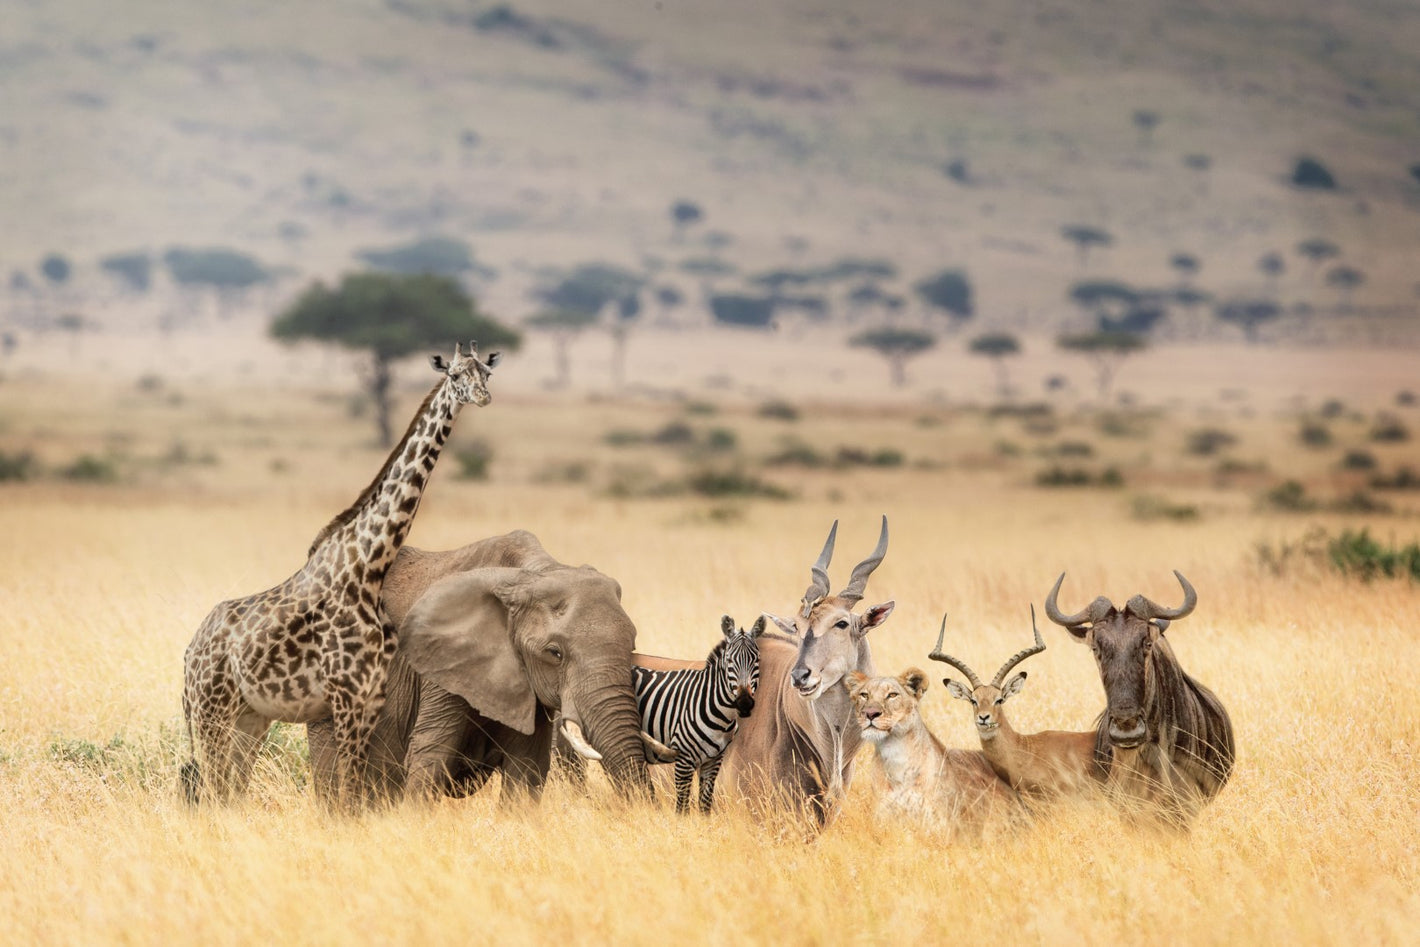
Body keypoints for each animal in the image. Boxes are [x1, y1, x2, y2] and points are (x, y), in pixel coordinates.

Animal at [307, 530, 655, 803]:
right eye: (554, 653)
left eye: (632, 647)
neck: (532, 574)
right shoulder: (442, 663)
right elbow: (431, 753)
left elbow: (528, 766)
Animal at [633, 615, 764, 813]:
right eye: (729, 661)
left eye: (756, 660)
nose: (745, 703)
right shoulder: (683, 759)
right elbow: (682, 807)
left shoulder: (714, 760)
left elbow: (705, 804)